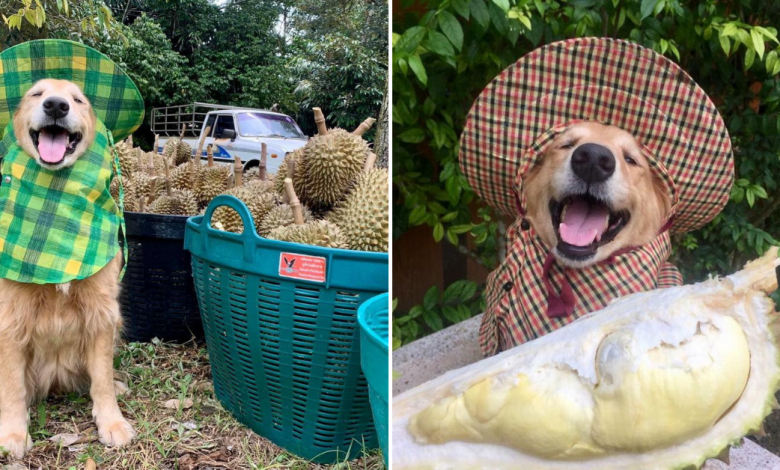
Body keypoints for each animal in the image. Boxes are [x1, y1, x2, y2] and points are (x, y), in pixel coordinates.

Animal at [0, 80, 134, 458]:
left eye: (78, 100)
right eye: (35, 94)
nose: (57, 105)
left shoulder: (102, 311)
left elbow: (101, 380)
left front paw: (112, 422)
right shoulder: (10, 318)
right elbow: (11, 386)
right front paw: (13, 433)